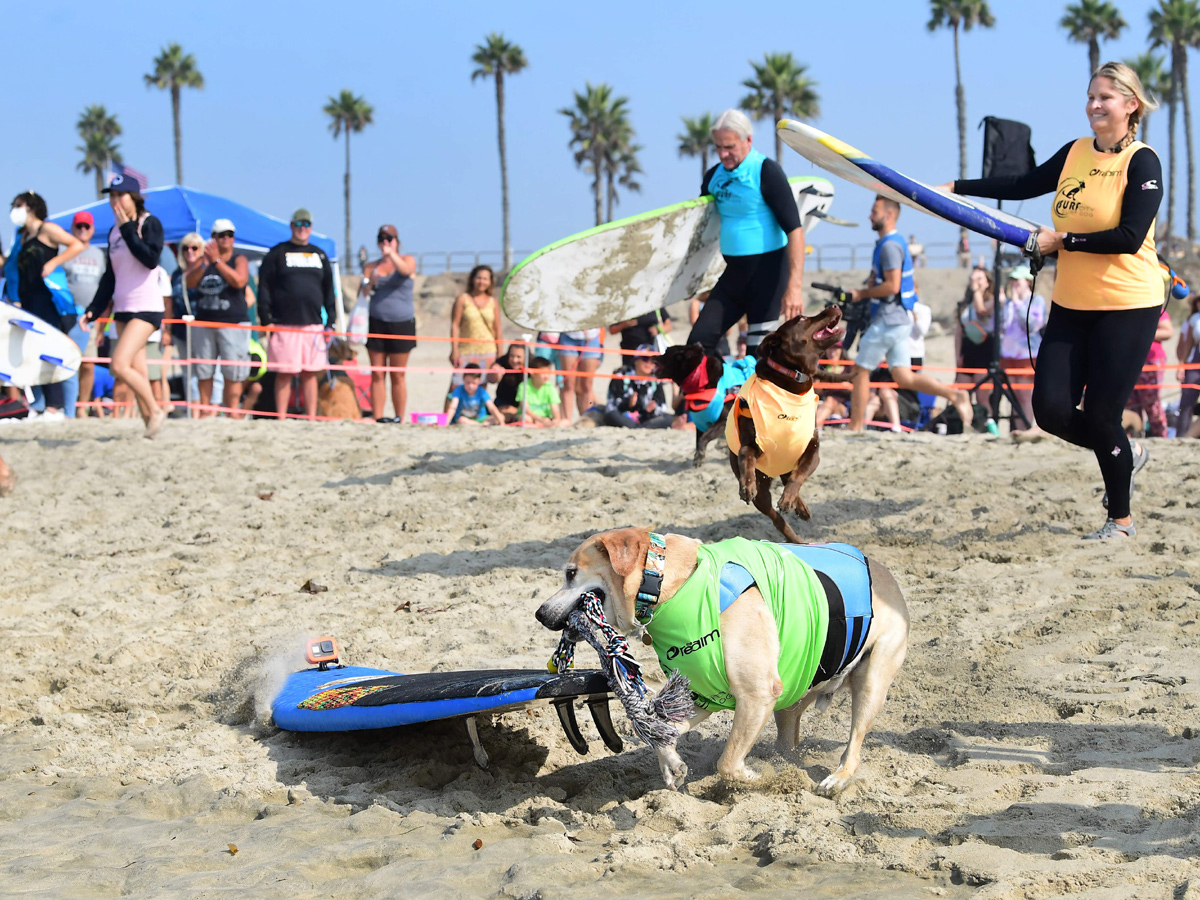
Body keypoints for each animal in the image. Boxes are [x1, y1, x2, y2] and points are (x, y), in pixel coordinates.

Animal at [535, 528, 907, 796]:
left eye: (571, 573)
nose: (539, 613)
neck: (672, 583)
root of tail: (885, 573)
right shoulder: (701, 696)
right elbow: (660, 731)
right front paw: (672, 764)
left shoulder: (756, 695)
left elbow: (727, 764)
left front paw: (759, 780)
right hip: (796, 689)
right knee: (788, 737)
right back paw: (784, 761)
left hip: (871, 682)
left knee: (854, 744)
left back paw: (837, 778)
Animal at [720, 307, 844, 540]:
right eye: (802, 318)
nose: (834, 305)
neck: (791, 378)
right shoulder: (751, 442)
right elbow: (746, 455)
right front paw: (747, 486)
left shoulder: (811, 450)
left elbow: (798, 476)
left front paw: (789, 499)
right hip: (763, 493)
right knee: (777, 519)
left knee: (789, 478)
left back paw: (799, 506)